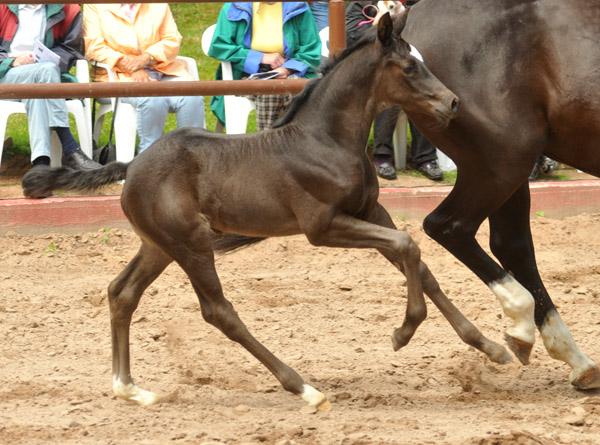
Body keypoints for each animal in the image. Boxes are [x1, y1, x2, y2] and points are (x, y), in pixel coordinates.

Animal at [22, 13, 502, 410]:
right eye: (408, 67)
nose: (452, 103)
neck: (325, 140)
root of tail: (131, 165)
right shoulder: (322, 227)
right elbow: (408, 245)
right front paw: (403, 332)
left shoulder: (371, 212)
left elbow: (418, 263)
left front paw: (491, 345)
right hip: (191, 243)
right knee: (219, 311)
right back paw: (304, 388)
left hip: (159, 246)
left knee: (122, 293)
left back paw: (130, 388)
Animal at [400, 0, 600, 388]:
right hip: (503, 159)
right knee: (449, 226)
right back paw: (523, 325)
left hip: (509, 169)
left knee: (511, 245)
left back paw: (574, 359)